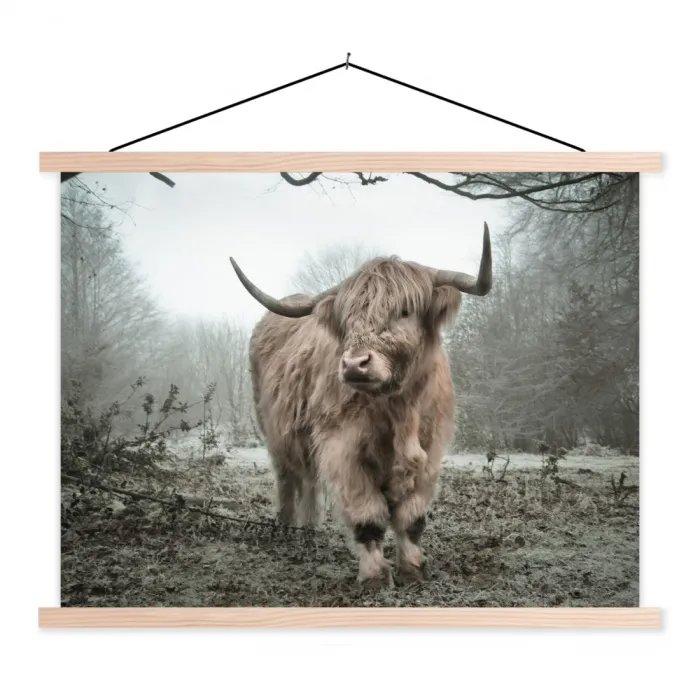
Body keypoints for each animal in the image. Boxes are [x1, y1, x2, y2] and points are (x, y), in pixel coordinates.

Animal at [229, 223, 492, 587]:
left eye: (404, 311)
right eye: (348, 318)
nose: (355, 364)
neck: (398, 410)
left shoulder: (430, 451)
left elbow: (412, 518)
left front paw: (413, 568)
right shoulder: (343, 449)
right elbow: (368, 516)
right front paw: (375, 576)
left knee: (309, 480)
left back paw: (310, 530)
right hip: (274, 432)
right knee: (287, 478)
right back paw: (286, 527)